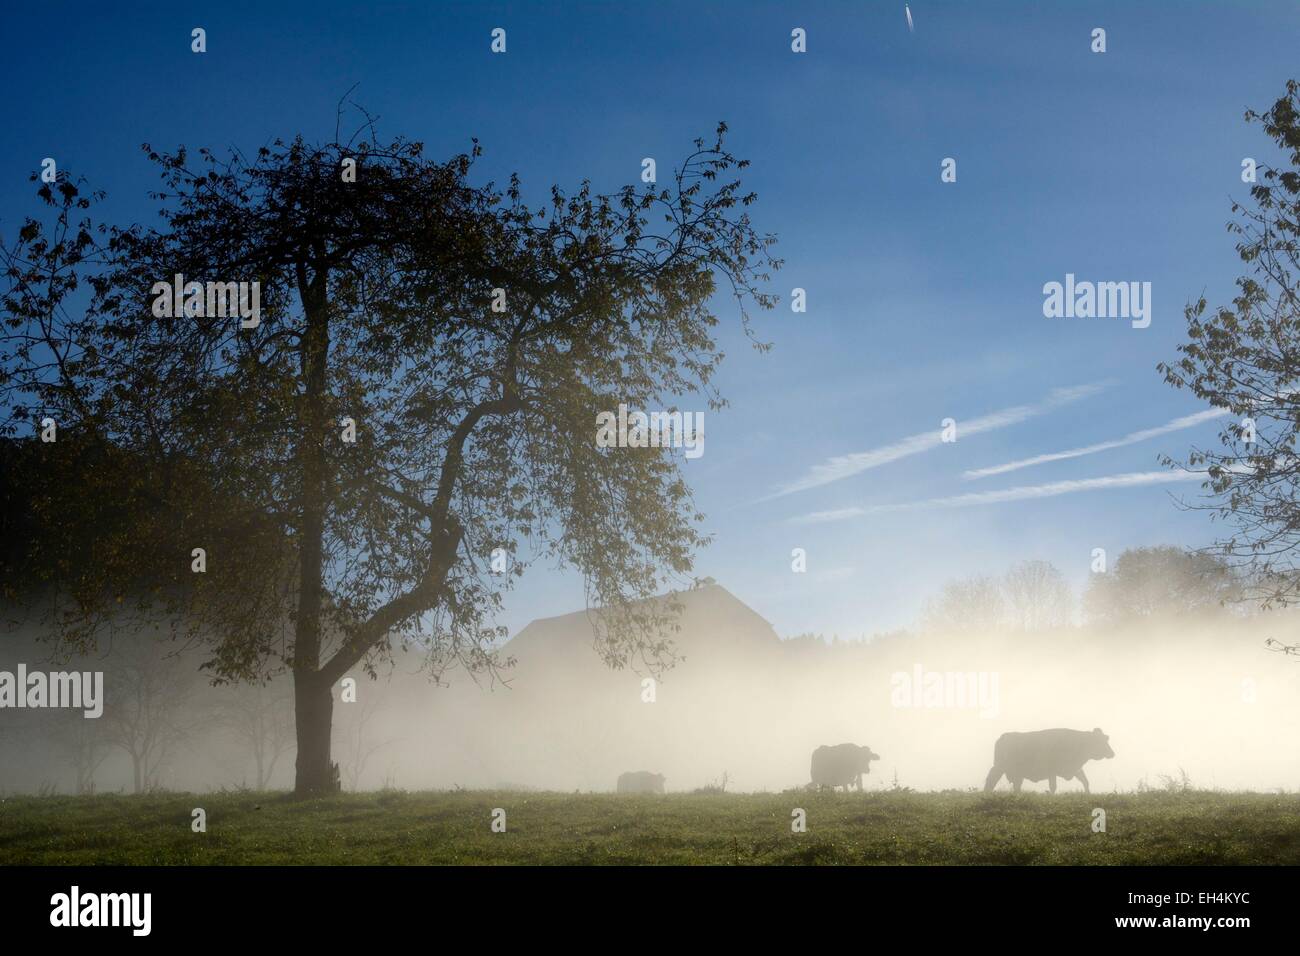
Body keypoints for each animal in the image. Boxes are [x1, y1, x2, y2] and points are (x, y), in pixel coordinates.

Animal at [982, 728, 1118, 796]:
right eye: (1101, 741)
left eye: (1106, 739)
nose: (1112, 753)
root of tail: (1003, 737)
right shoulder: (1052, 771)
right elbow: (1053, 786)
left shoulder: (1077, 769)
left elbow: (1085, 781)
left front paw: (1088, 794)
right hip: (1000, 767)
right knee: (991, 779)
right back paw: (987, 793)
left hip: (1016, 773)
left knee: (1016, 785)